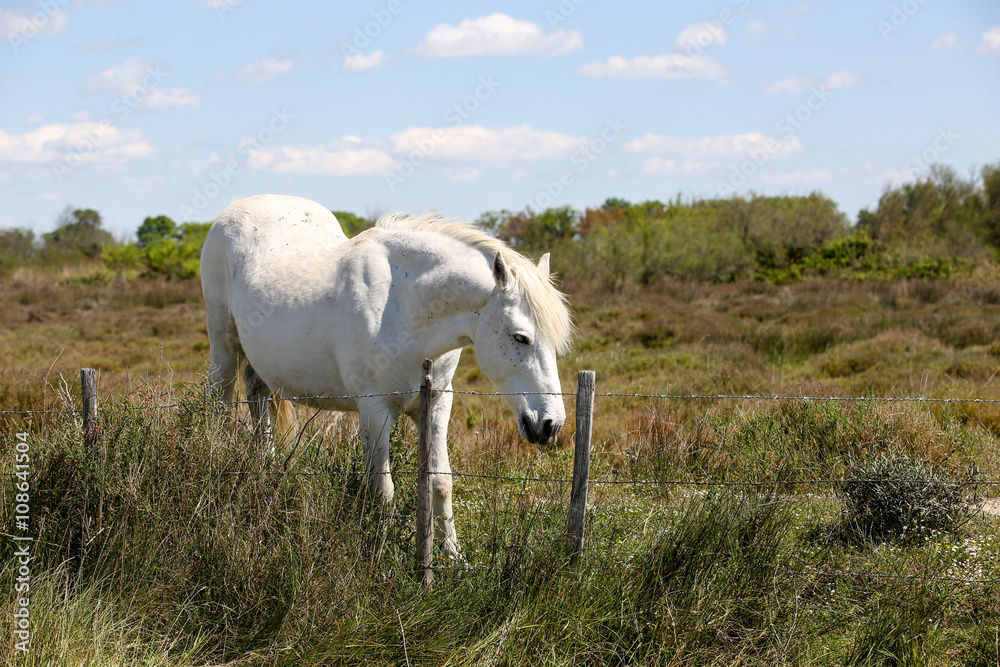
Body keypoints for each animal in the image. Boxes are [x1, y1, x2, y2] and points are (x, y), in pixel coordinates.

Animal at [197, 193, 572, 560]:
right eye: (520, 337)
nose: (549, 424)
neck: (404, 305)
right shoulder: (375, 412)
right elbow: (384, 490)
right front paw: (380, 558)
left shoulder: (437, 405)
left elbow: (441, 481)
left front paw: (453, 557)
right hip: (223, 348)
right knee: (220, 406)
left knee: (257, 398)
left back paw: (266, 469)